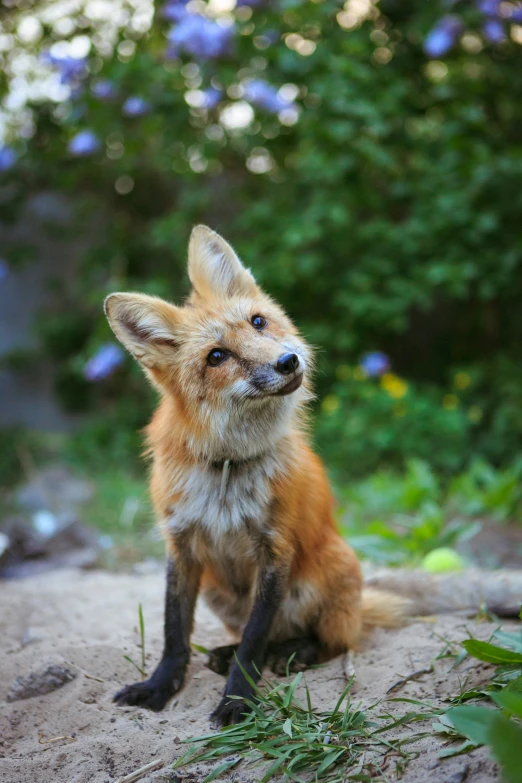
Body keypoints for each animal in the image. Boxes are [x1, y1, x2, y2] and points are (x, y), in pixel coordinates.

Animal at [103, 227, 408, 728]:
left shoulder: (274, 549)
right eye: (216, 356)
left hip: (325, 575)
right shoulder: (180, 545)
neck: (228, 466)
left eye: (259, 322)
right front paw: (160, 685)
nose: (288, 362)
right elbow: (174, 632)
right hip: (219, 592)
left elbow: (253, 642)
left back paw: (294, 652)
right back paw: (229, 652)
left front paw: (238, 700)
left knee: (334, 641)